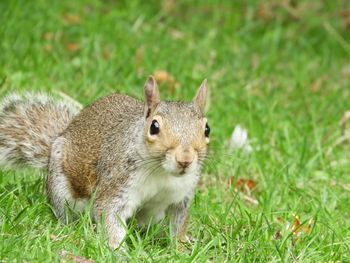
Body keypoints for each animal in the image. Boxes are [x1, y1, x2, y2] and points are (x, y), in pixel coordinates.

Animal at [0, 76, 209, 250]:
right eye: (154, 127)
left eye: (207, 129)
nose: (185, 160)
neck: (162, 173)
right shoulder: (117, 184)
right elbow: (108, 214)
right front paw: (118, 251)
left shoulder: (181, 197)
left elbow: (178, 224)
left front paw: (181, 247)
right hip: (62, 192)